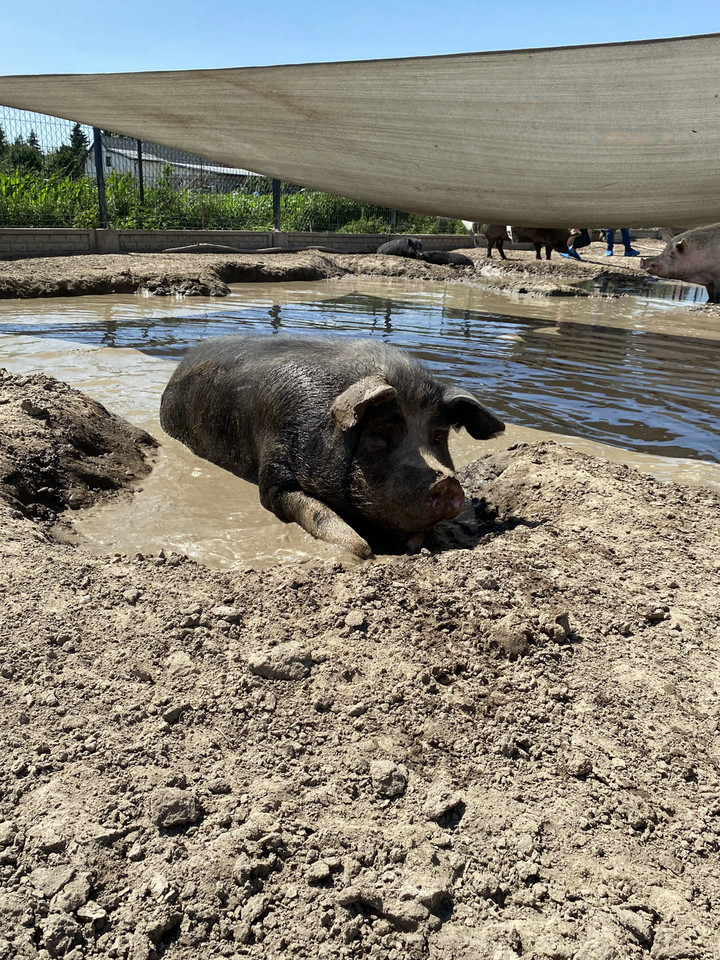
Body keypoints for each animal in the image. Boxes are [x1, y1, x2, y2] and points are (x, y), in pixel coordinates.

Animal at [160, 334, 504, 560]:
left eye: (438, 434)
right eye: (382, 433)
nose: (446, 482)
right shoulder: (273, 476)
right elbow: (314, 512)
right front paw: (364, 551)